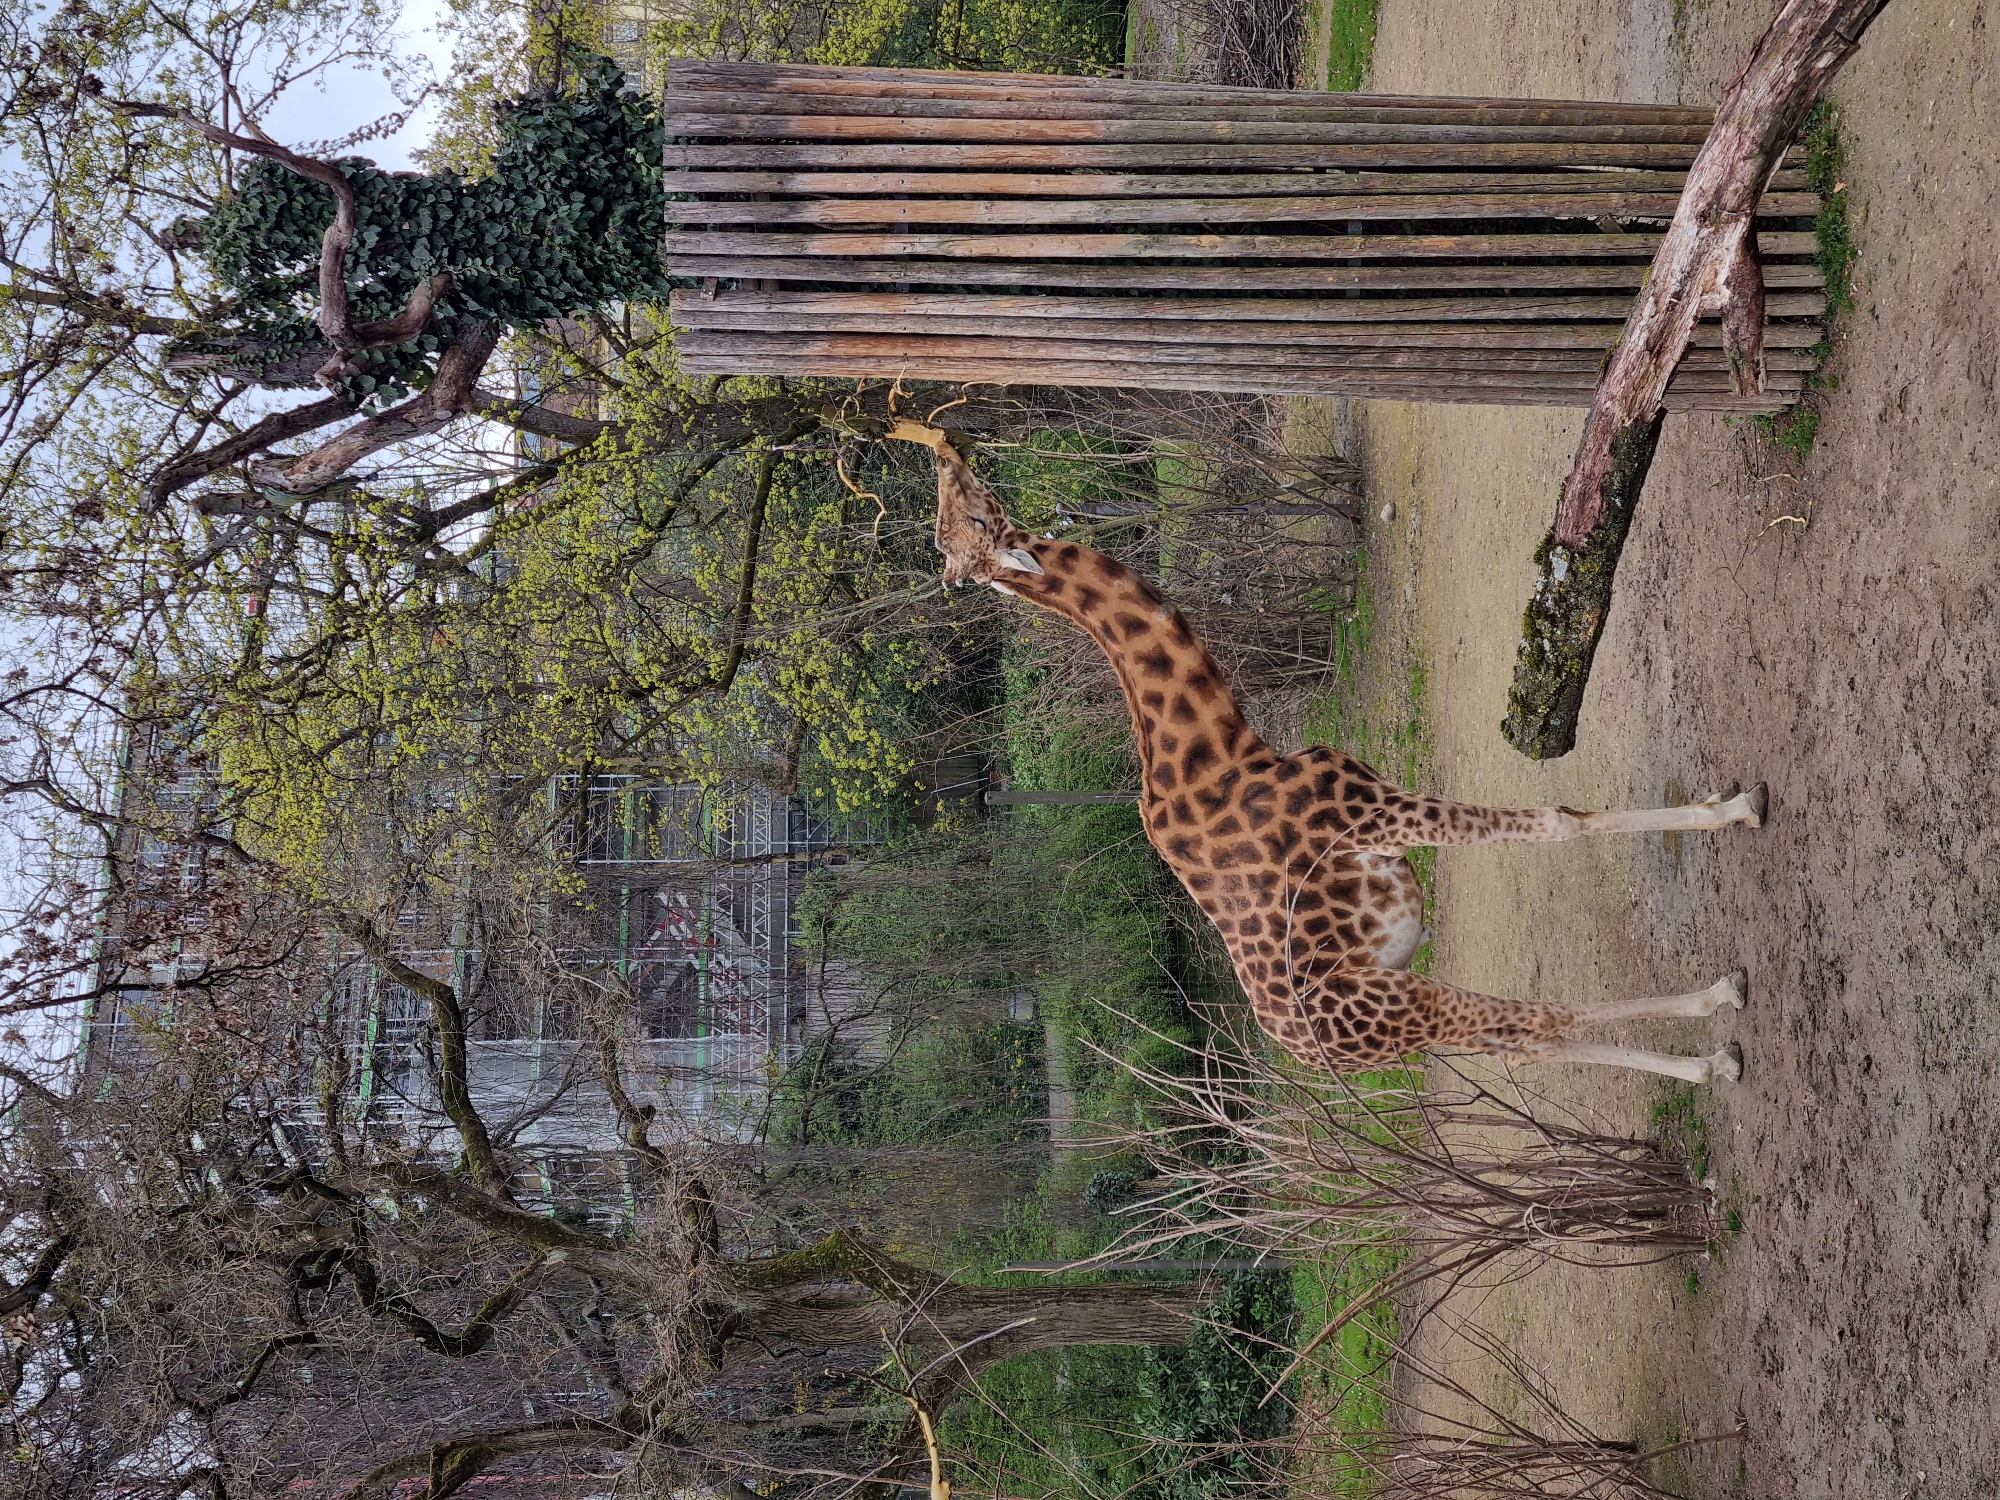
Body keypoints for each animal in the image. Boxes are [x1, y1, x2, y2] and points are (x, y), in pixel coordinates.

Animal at [887, 418, 1764, 1084]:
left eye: (968, 509)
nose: (953, 450)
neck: (1224, 751)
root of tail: (1319, 1057)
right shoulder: (1377, 816)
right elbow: (1559, 820)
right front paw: (1733, 809)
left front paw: (1723, 805)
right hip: (1407, 1008)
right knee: (1535, 1023)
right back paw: (1716, 1039)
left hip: (1412, 1001)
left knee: (1524, 1038)